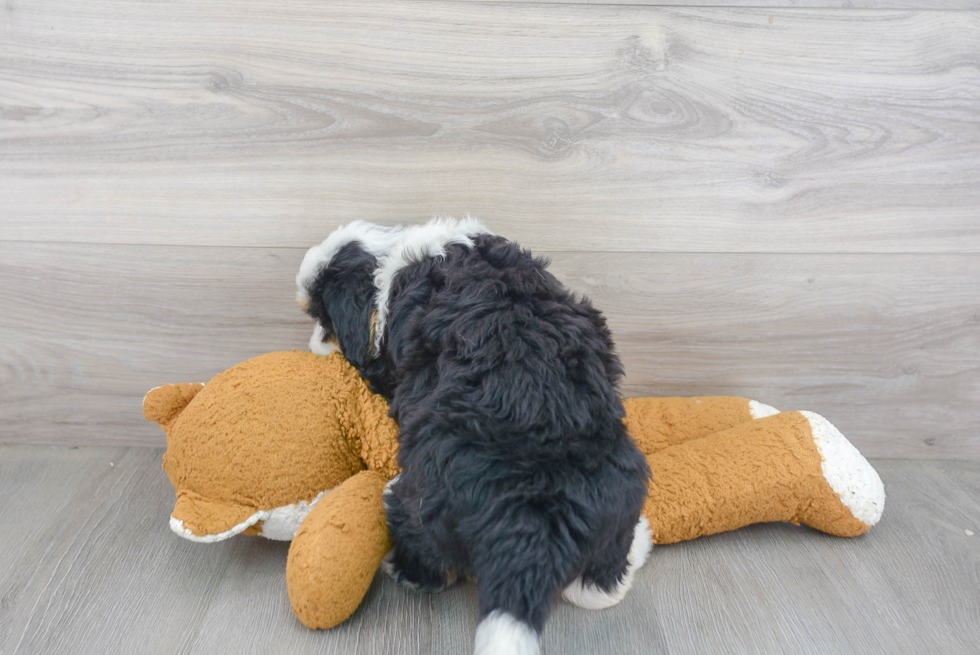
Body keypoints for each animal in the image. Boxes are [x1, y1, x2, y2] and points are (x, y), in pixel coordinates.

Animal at [296, 218, 652, 652]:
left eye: (323, 319)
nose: (310, 346)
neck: (390, 258)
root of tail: (528, 524)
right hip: (621, 488)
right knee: (599, 581)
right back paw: (635, 549)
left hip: (420, 501)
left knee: (428, 555)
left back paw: (400, 565)